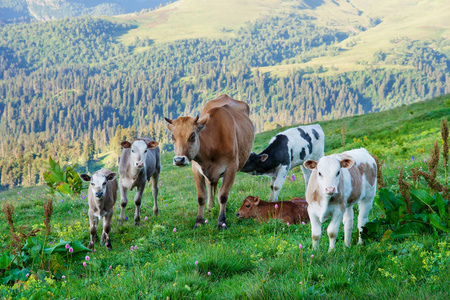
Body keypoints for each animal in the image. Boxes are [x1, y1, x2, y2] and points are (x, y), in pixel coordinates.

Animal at [167, 95, 255, 229]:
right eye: (172, 137)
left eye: (192, 136)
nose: (179, 160)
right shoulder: (196, 169)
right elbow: (201, 196)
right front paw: (199, 221)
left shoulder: (231, 167)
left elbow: (223, 195)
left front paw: (221, 221)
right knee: (210, 186)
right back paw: (209, 208)